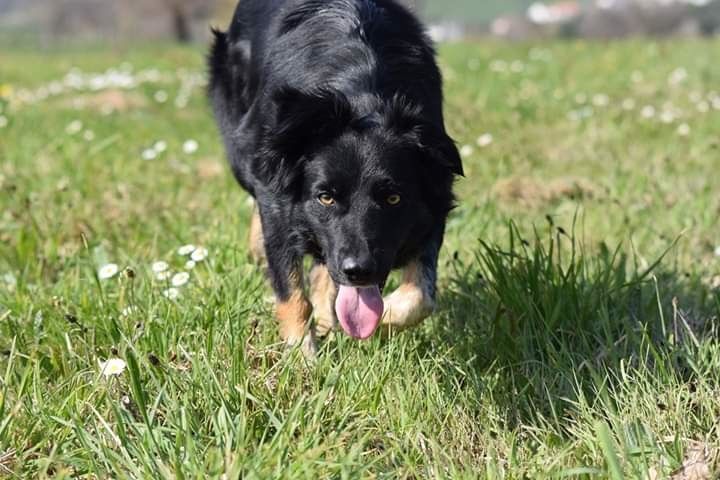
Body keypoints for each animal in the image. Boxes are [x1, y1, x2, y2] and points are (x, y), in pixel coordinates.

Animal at [208, 0, 464, 356]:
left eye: (393, 198)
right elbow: (291, 289)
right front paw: (302, 357)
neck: (362, 93)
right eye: (325, 197)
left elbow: (421, 296)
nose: (358, 271)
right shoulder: (277, 196)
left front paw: (378, 320)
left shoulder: (434, 199)